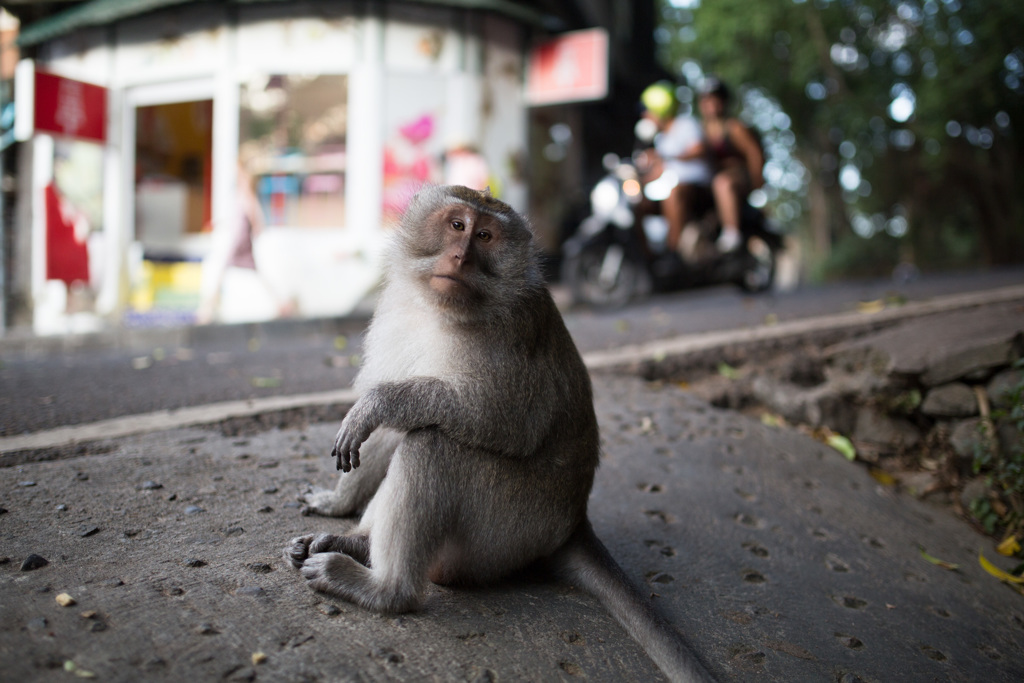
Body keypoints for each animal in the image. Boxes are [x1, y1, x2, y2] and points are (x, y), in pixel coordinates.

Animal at [280, 184, 712, 679]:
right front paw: (336, 502)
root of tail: (572, 524)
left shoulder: (507, 333)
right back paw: (354, 542)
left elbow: (502, 422)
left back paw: (385, 588)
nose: (461, 257)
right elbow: (389, 429)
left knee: (434, 443)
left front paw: (376, 404)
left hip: (504, 534)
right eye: (457, 226)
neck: (437, 311)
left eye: (485, 236)